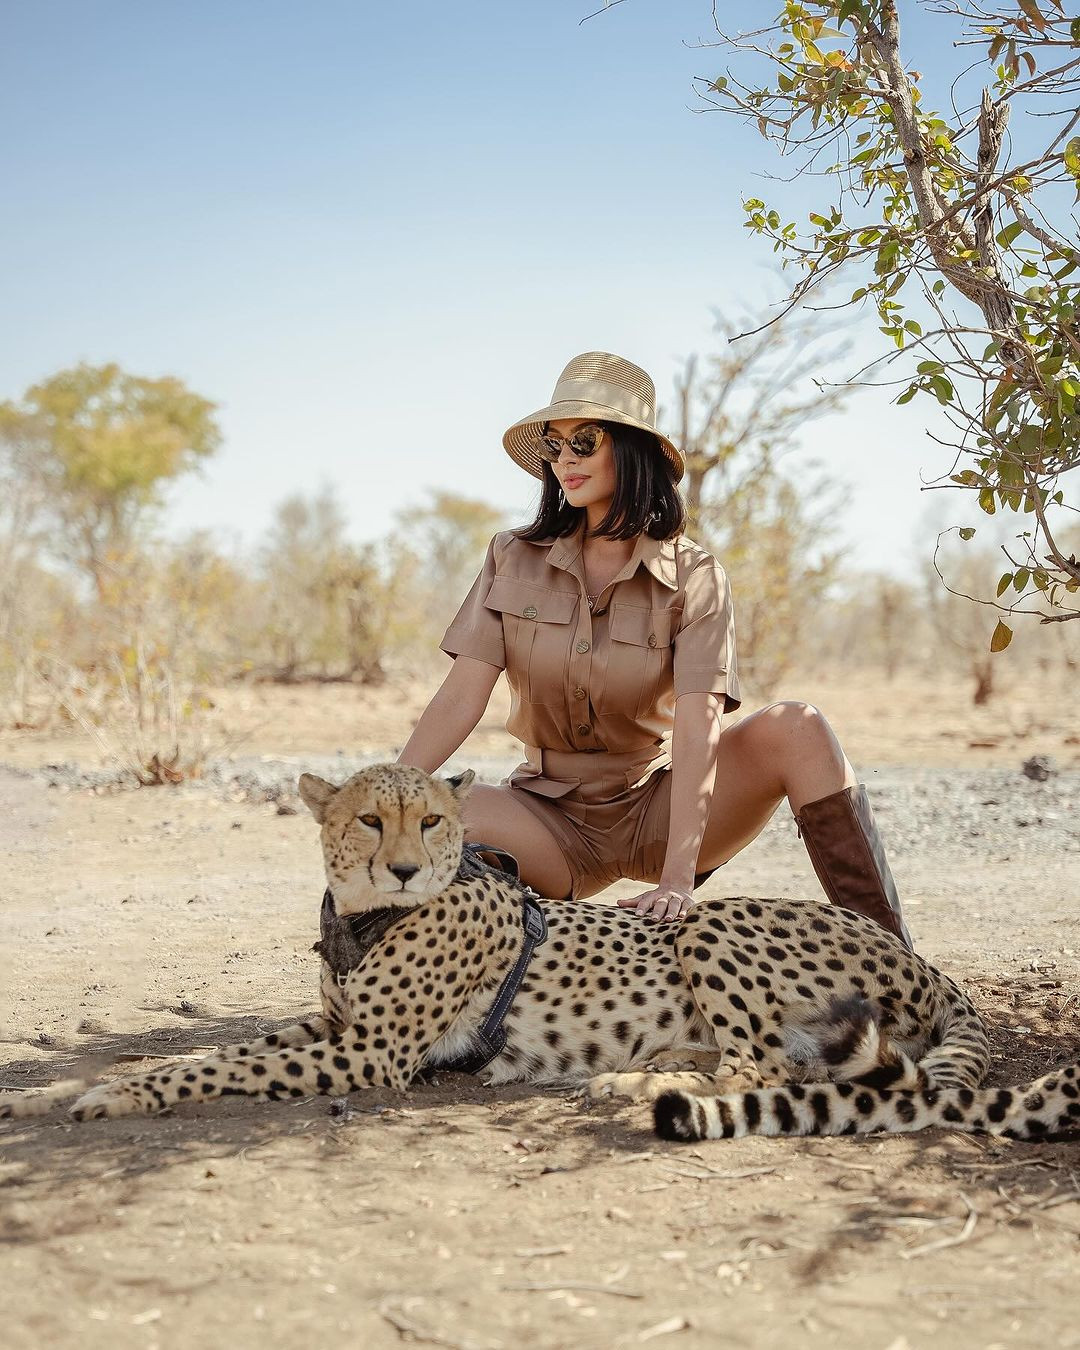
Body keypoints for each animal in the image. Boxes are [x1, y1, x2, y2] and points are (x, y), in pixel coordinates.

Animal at [3, 762, 1078, 1143]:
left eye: (434, 821)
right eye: (369, 819)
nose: (404, 868)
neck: (364, 915)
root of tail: (921, 958)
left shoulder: (369, 1055)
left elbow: (212, 1062)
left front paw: (109, 1096)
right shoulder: (328, 1024)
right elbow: (214, 1044)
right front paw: (58, 1089)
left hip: (706, 922)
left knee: (768, 1062)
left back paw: (622, 1086)